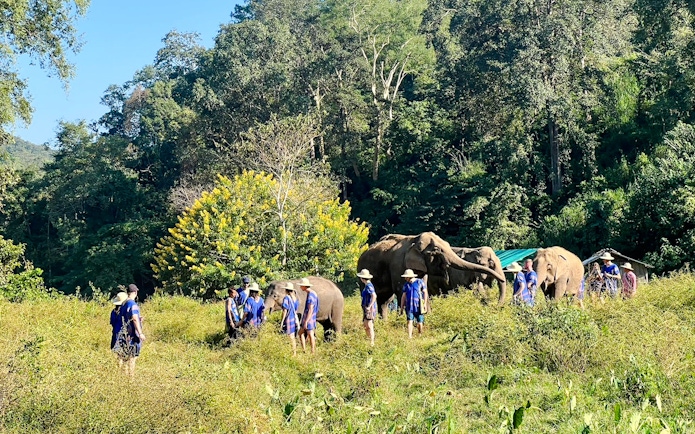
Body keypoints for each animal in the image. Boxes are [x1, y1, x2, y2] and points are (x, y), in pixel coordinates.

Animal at [356, 232, 506, 318]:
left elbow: (423, 290)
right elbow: (402, 290)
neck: (414, 240)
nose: (497, 306)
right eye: (437, 250)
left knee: (384, 301)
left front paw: (428, 317)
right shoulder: (398, 266)